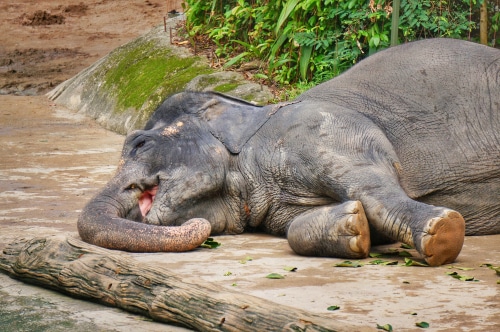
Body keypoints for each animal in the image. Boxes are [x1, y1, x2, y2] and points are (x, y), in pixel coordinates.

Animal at [76, 39, 498, 268]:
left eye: (139, 143)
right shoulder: (276, 205)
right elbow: (297, 229)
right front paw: (352, 227)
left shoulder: (325, 130)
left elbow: (373, 188)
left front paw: (442, 232)